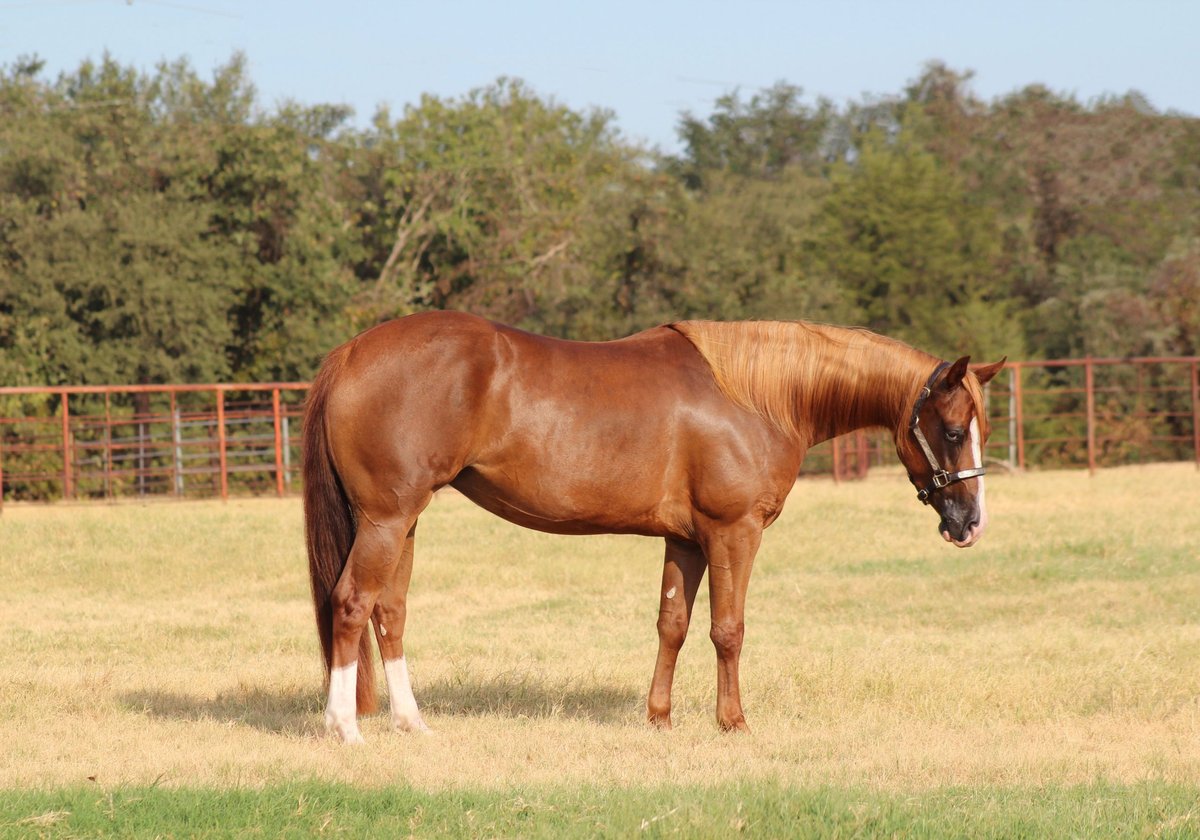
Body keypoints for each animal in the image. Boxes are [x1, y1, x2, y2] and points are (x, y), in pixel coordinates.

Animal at [303, 310, 1005, 742]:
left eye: (982, 429)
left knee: (390, 612)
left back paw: (411, 722)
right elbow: (728, 630)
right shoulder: (733, 533)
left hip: (404, 524)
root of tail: (351, 352)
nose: (970, 524)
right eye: (951, 431)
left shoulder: (685, 540)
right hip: (386, 520)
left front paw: (660, 718)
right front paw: (733, 723)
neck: (757, 396)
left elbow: (673, 624)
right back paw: (345, 727)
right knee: (351, 604)